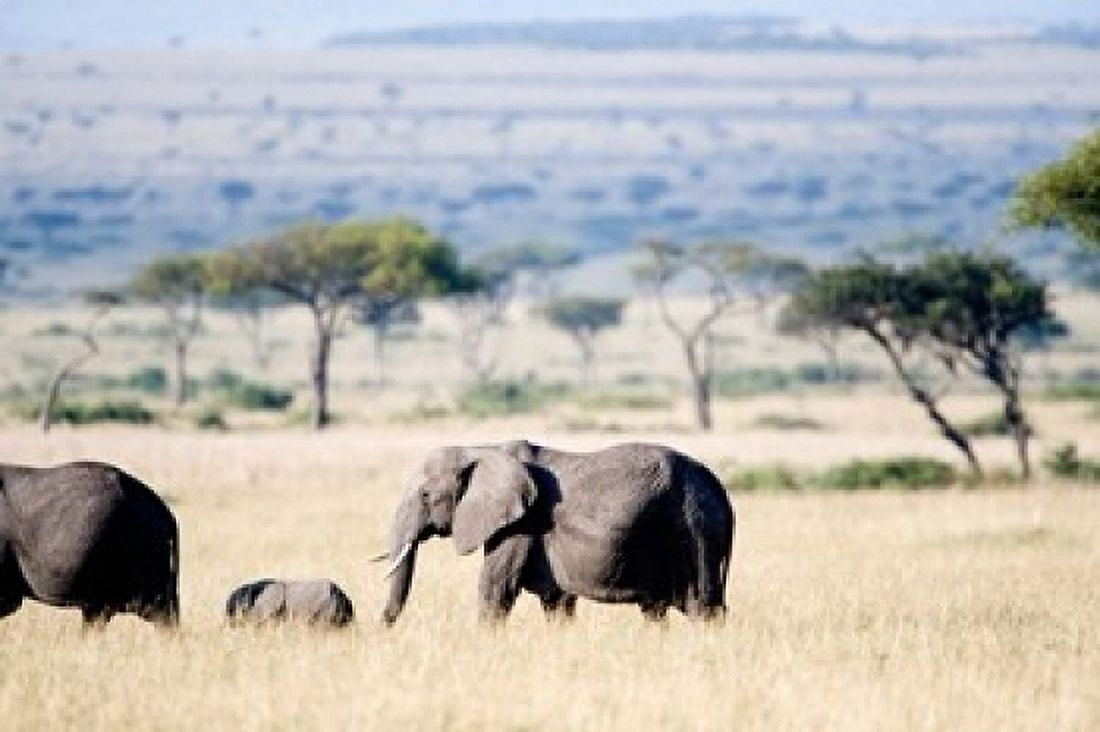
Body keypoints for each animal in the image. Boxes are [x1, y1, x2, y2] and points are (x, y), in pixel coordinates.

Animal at [380, 440, 734, 625]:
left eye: (426, 495)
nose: (382, 629)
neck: (481, 449)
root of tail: (721, 489)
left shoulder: (520, 524)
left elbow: (495, 589)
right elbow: (557, 601)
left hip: (696, 530)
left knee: (703, 606)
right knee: (657, 609)